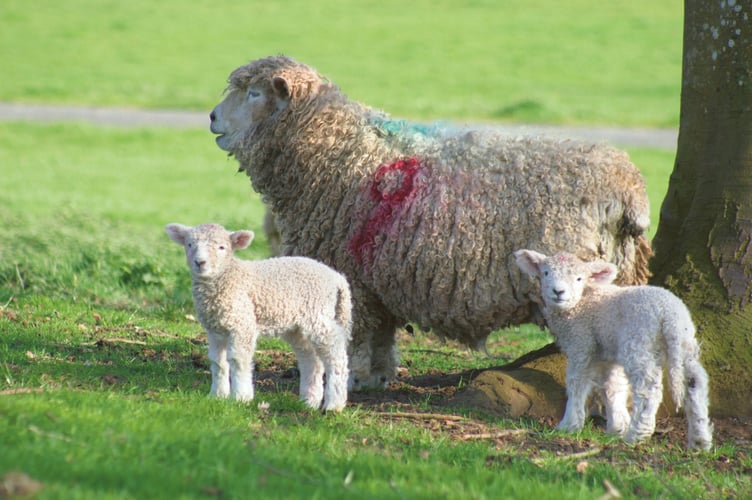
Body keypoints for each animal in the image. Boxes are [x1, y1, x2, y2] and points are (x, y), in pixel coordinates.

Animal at [166, 225, 354, 412]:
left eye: (222, 247)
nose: (200, 262)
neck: (228, 277)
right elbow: (217, 361)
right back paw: (309, 401)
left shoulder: (242, 323)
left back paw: (334, 404)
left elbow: (238, 359)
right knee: (311, 359)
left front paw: (241, 397)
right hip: (297, 326)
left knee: (336, 354)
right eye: (189, 244)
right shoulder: (215, 330)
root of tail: (337, 278)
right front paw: (217, 395)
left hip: (318, 314)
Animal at [210, 54, 652, 390]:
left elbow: (357, 337)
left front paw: (352, 379)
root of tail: (627, 187)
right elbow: (381, 337)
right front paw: (376, 378)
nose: (212, 117)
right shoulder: (376, 282)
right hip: (624, 274)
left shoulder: (353, 277)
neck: (338, 151)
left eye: (254, 93)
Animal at [516, 250, 712, 450]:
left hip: (638, 341)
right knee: (694, 382)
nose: (558, 292)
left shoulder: (581, 343)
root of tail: (669, 314)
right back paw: (699, 440)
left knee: (648, 387)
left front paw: (568, 425)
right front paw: (617, 427)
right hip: (684, 343)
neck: (581, 302)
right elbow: (612, 386)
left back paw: (637, 435)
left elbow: (576, 382)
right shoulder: (606, 353)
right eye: (546, 273)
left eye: (579, 278)